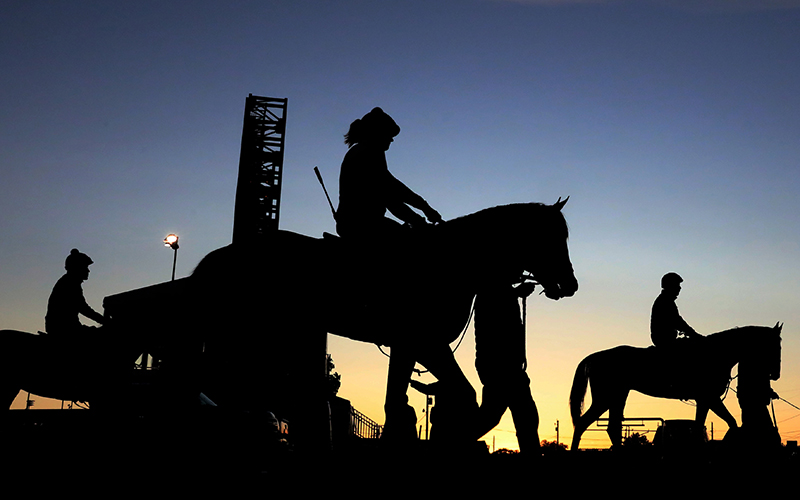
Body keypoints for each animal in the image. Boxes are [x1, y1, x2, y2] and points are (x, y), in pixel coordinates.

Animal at [568, 322, 780, 452]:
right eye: (775, 345)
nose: (775, 374)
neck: (715, 353)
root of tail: (595, 357)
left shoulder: (705, 400)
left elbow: (703, 426)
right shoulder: (709, 398)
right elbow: (729, 423)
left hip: (618, 396)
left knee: (612, 427)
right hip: (605, 398)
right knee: (583, 423)